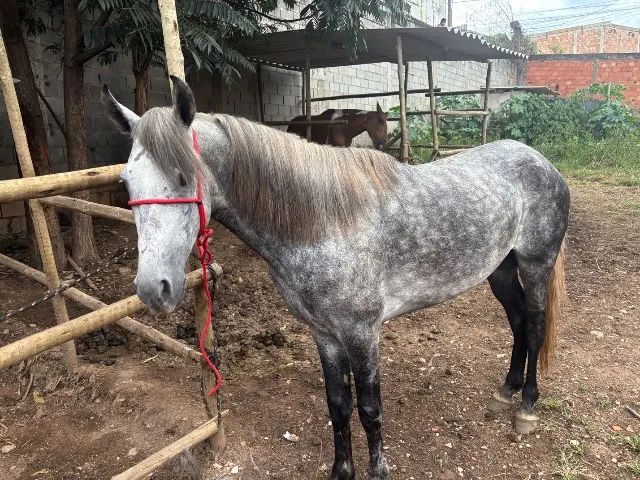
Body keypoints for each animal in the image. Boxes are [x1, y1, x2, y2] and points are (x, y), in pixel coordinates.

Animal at [102, 76, 570, 480]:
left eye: (184, 177)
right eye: (126, 181)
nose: (153, 289)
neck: (322, 222)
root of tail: (541, 162)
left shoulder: (362, 333)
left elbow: (369, 409)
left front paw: (378, 471)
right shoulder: (324, 334)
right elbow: (338, 406)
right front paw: (342, 470)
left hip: (535, 264)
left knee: (535, 325)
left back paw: (526, 408)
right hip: (500, 271)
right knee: (518, 323)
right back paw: (505, 393)